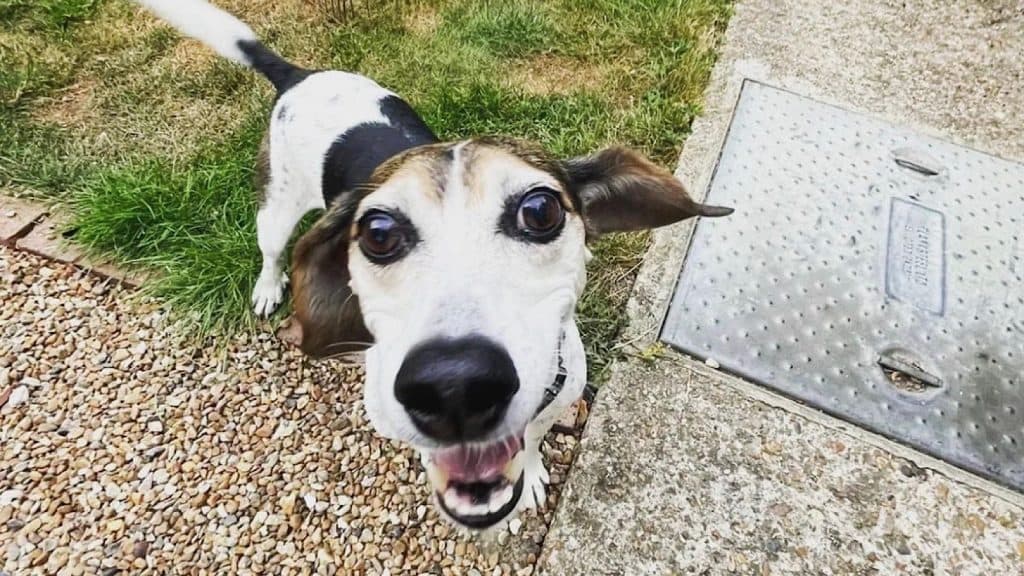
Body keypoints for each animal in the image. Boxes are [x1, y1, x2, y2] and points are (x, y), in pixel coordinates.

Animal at [136, 0, 733, 528]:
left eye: (540, 210)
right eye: (377, 233)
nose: (455, 386)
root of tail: (299, 75)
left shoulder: (557, 397)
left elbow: (532, 438)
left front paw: (530, 472)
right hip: (277, 207)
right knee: (270, 248)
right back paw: (267, 285)